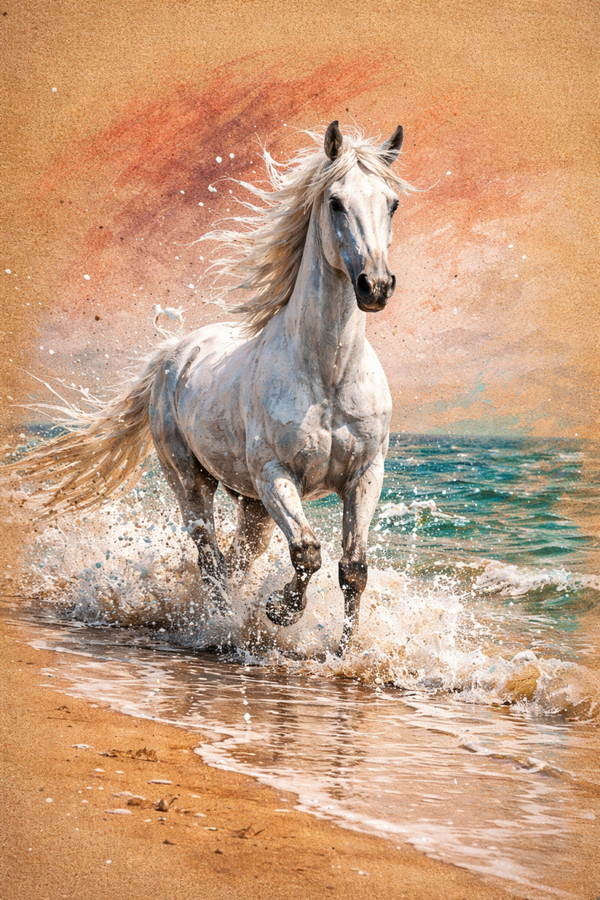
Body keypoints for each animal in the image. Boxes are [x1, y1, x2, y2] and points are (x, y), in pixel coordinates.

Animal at [10, 121, 412, 654]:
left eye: (392, 203)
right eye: (335, 202)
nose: (376, 286)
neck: (327, 375)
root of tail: (173, 353)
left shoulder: (364, 475)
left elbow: (353, 570)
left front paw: (342, 653)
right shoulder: (275, 474)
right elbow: (307, 552)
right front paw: (280, 611)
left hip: (251, 502)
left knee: (238, 559)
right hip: (192, 480)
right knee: (212, 560)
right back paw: (220, 626)